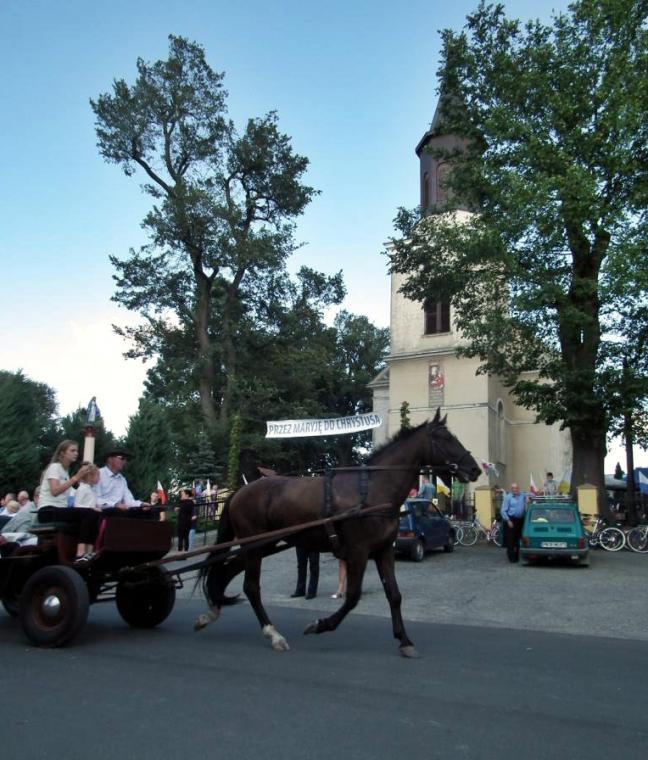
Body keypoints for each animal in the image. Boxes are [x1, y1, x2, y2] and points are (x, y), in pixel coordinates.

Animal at [195, 411, 481, 657]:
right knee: (251, 586)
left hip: (262, 545)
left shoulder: (383, 551)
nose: (475, 469)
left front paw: (404, 640)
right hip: (255, 546)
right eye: (445, 438)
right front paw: (321, 624)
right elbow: (352, 597)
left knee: (224, 573)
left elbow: (395, 595)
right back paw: (272, 633)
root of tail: (240, 491)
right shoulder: (358, 552)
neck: (373, 490)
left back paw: (211, 613)